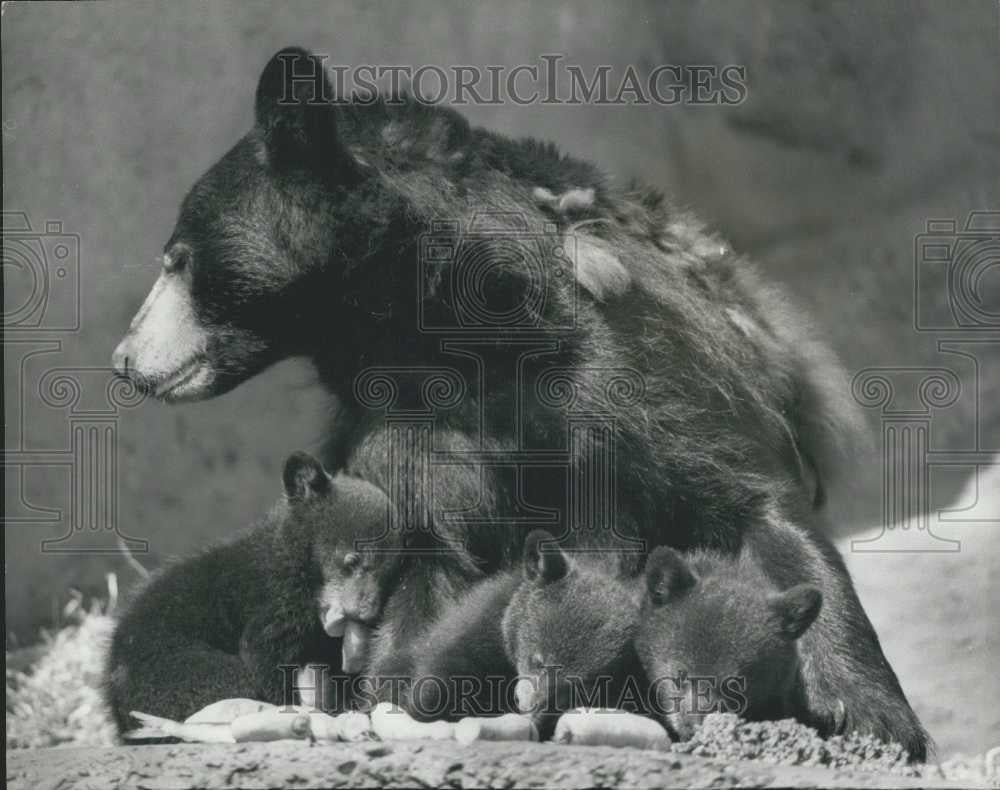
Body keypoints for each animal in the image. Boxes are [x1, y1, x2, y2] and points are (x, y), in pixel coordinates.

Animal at [104, 454, 390, 732]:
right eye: (351, 561)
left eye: (391, 570)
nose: (367, 612)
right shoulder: (276, 601)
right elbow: (262, 653)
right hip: (175, 672)